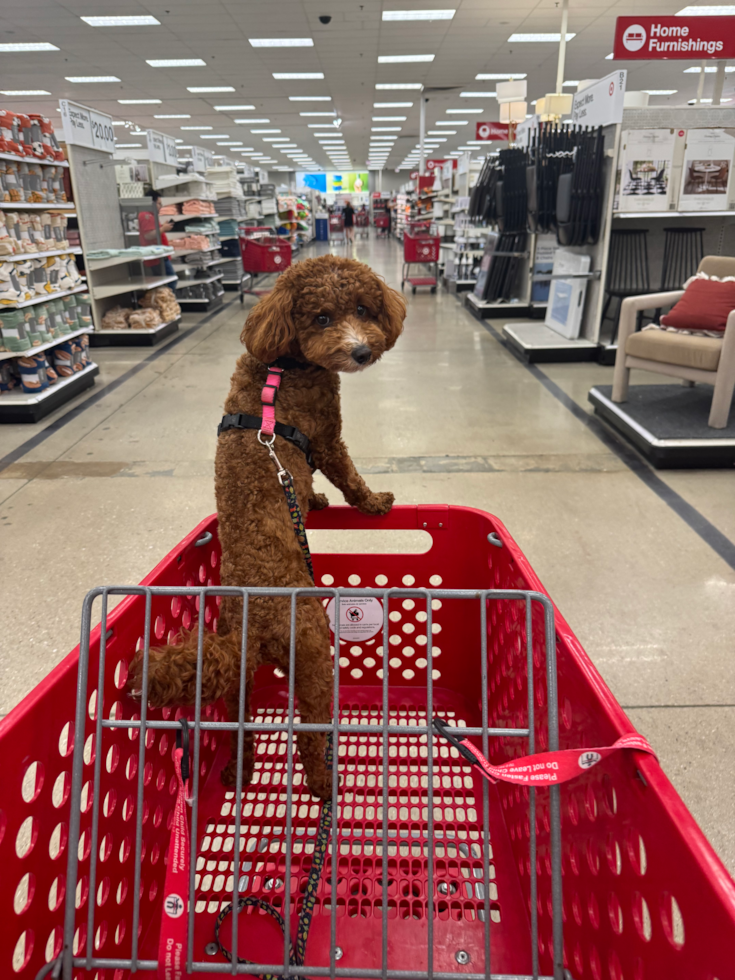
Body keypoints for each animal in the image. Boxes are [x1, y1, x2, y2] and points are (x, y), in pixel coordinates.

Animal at [132, 256, 408, 800]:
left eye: (363, 309)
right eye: (321, 317)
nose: (362, 351)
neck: (282, 366)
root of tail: (254, 620)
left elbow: (316, 484)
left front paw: (314, 500)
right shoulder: (326, 439)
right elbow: (348, 476)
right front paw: (372, 503)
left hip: (238, 679)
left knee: (239, 726)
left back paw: (237, 773)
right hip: (315, 656)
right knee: (309, 733)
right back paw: (324, 783)